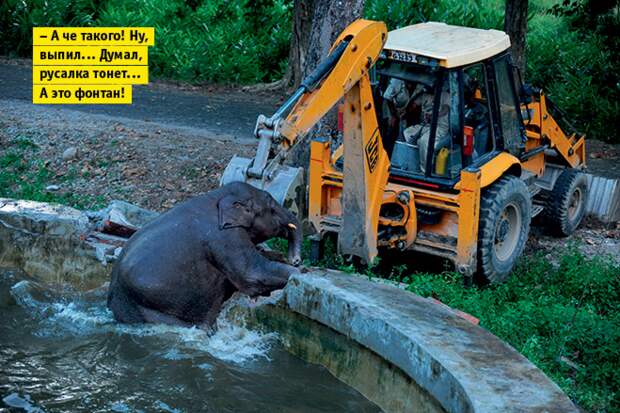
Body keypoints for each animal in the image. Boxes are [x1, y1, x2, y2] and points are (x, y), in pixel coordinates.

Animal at [107, 182, 306, 326]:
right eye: (271, 205)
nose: (296, 260)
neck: (218, 194)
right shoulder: (223, 237)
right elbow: (251, 274)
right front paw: (297, 274)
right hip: (151, 308)